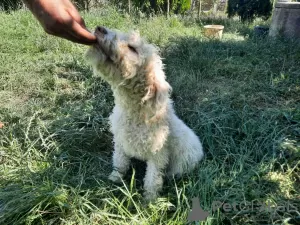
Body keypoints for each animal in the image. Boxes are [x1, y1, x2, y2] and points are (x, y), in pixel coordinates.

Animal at [85, 26, 205, 200]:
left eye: (132, 48)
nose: (100, 28)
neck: (134, 112)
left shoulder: (158, 154)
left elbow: (152, 179)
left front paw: (149, 201)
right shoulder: (120, 141)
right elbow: (120, 162)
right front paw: (115, 178)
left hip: (183, 163)